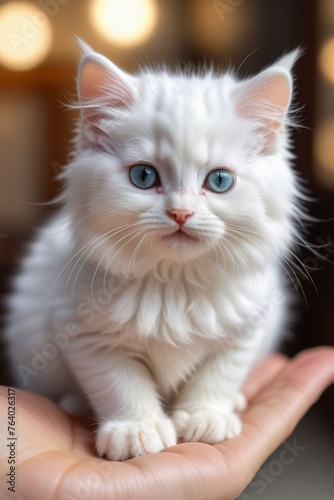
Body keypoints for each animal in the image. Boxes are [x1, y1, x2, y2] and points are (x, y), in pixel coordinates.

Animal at [4, 43, 302, 460]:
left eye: (220, 181)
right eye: (144, 176)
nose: (181, 212)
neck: (173, 282)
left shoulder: (247, 328)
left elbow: (219, 375)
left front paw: (205, 416)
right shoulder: (84, 335)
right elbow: (121, 385)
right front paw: (136, 430)